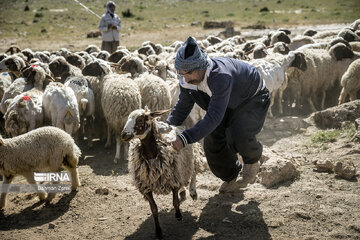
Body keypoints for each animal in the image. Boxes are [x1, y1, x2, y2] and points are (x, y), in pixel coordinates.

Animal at [121, 108, 204, 239]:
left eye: (140, 119)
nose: (124, 135)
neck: (152, 156)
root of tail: (178, 126)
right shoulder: (146, 187)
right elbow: (154, 209)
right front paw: (158, 231)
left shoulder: (173, 181)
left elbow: (175, 203)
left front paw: (178, 215)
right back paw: (183, 191)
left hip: (192, 158)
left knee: (193, 173)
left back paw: (193, 191)